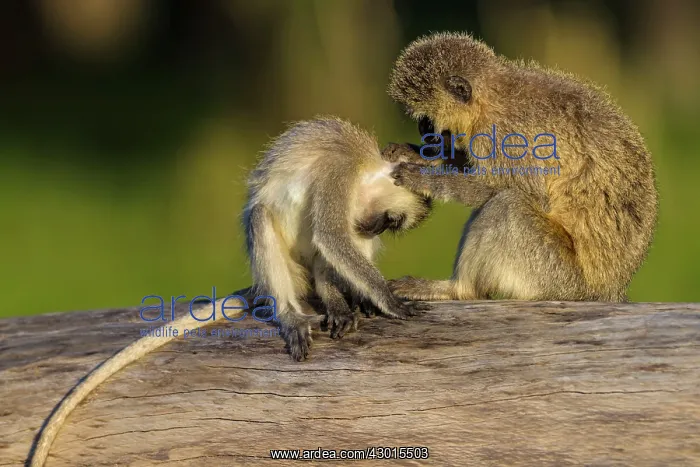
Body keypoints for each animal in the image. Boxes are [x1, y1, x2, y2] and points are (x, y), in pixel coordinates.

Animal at [27, 116, 432, 467]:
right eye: (392, 221)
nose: (375, 229)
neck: (365, 167)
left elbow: (335, 242)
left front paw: (361, 299)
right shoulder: (339, 173)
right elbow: (332, 235)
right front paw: (391, 302)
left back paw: (339, 301)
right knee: (268, 219)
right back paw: (292, 314)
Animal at [382, 32, 658, 303]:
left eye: (426, 121)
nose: (424, 133)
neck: (491, 100)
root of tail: (607, 291)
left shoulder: (508, 136)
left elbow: (522, 194)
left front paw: (425, 178)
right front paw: (419, 154)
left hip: (554, 277)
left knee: (508, 204)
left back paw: (458, 290)